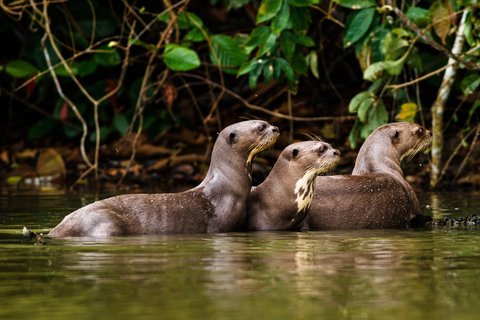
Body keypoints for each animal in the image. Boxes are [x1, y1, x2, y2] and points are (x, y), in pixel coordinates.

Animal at [49, 120, 280, 238]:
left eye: (267, 122)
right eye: (260, 127)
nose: (276, 128)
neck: (230, 185)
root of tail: (58, 228)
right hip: (105, 224)